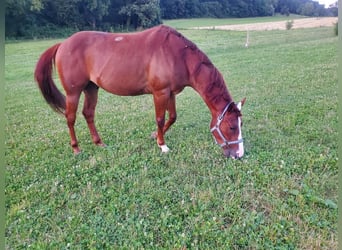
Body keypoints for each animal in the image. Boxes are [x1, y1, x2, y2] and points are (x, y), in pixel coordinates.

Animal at [34, 24, 246, 158]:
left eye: (240, 124)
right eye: (232, 127)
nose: (239, 154)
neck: (178, 54)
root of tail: (63, 44)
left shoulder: (170, 93)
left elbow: (172, 117)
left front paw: (155, 136)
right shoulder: (160, 92)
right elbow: (160, 118)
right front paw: (162, 145)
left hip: (91, 88)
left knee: (88, 114)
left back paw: (99, 143)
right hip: (73, 92)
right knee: (70, 118)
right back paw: (76, 149)